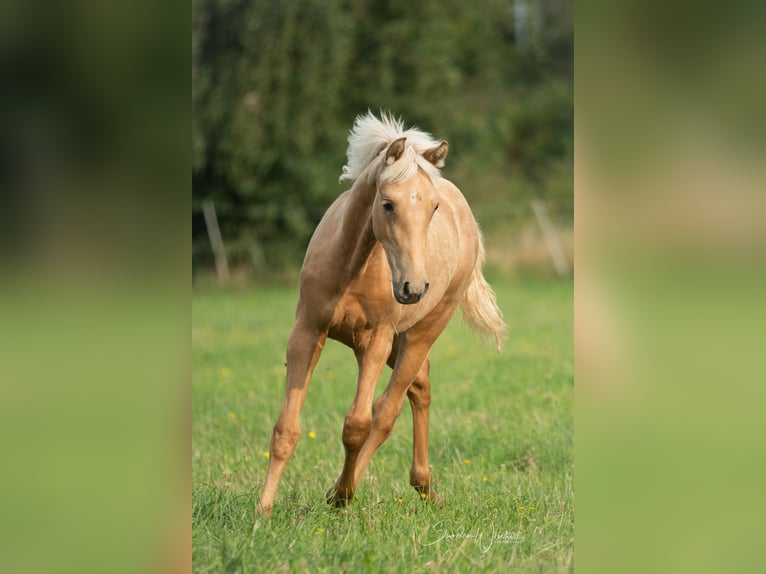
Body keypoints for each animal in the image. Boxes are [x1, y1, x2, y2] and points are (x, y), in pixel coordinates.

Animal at [260, 112, 510, 516]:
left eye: (432, 207)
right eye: (388, 203)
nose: (413, 288)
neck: (352, 267)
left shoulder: (376, 339)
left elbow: (358, 424)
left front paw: (341, 495)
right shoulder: (307, 332)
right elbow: (286, 428)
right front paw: (262, 510)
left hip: (420, 332)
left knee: (387, 412)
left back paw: (344, 493)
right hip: (396, 342)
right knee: (420, 386)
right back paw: (423, 486)